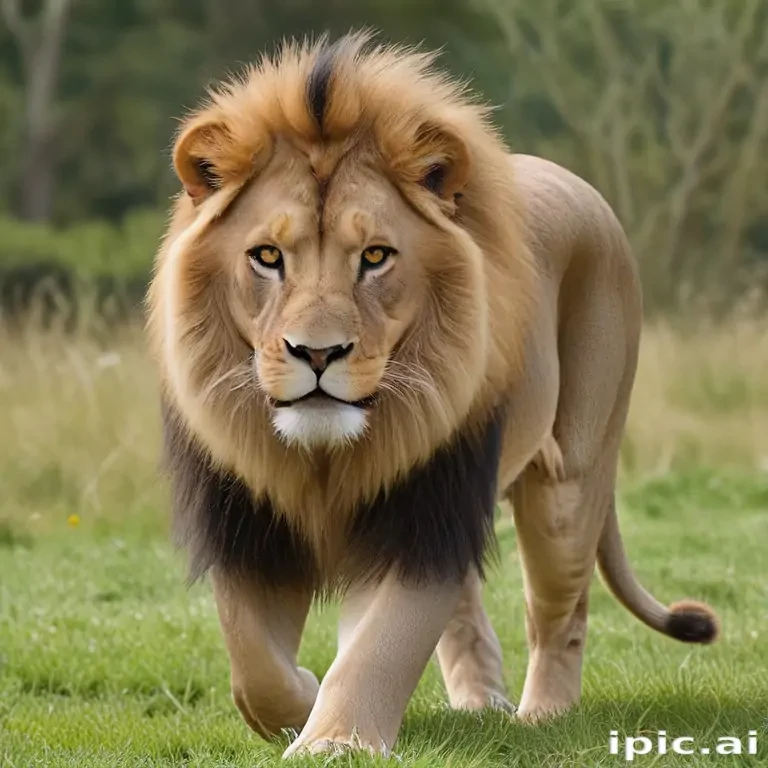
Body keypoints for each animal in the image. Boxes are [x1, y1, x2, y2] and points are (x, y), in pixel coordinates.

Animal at [146, 32, 719, 758]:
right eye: (267, 257)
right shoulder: (246, 518)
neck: (325, 459)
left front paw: (337, 742)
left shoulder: (426, 507)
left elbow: (380, 646)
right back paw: (479, 705)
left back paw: (542, 718)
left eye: (375, 257)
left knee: (562, 610)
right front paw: (302, 702)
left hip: (569, 481)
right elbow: (253, 663)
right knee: (469, 612)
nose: (318, 353)